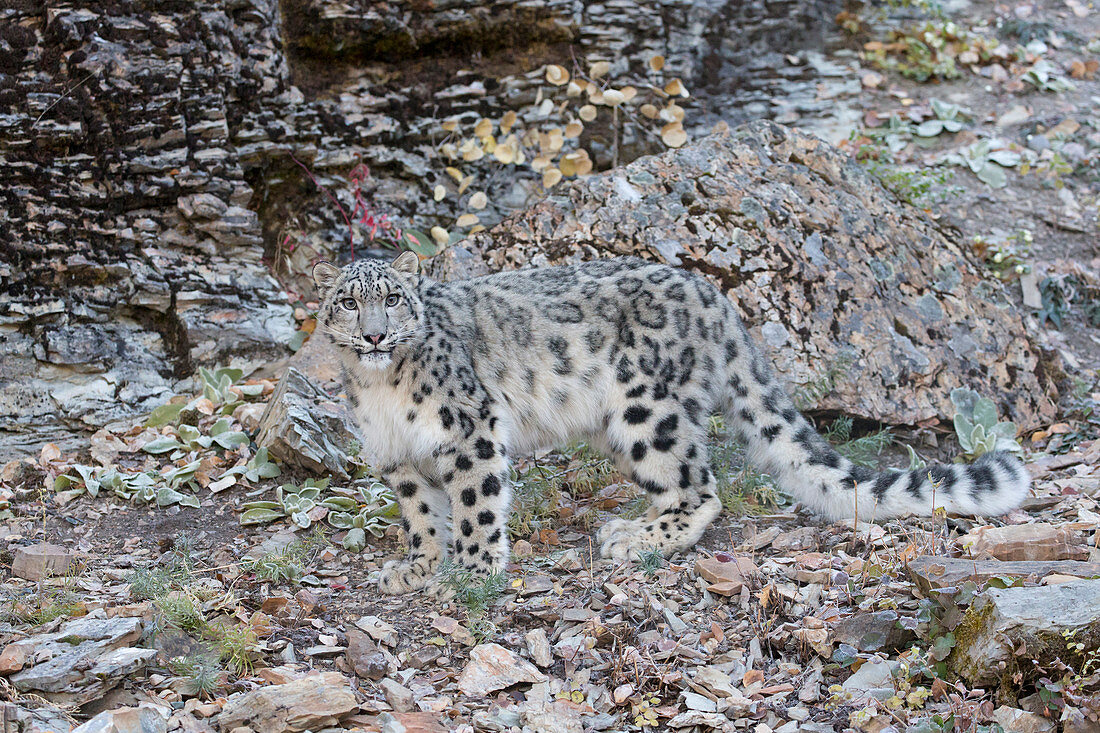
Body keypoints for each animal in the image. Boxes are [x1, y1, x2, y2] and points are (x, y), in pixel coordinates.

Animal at [312, 253, 1029, 594]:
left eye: (392, 299)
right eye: (348, 302)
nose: (373, 334)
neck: (379, 388)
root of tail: (713, 296)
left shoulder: (469, 429)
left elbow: (473, 504)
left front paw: (474, 567)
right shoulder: (402, 459)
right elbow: (424, 516)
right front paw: (419, 566)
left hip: (646, 409)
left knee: (700, 486)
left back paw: (637, 537)